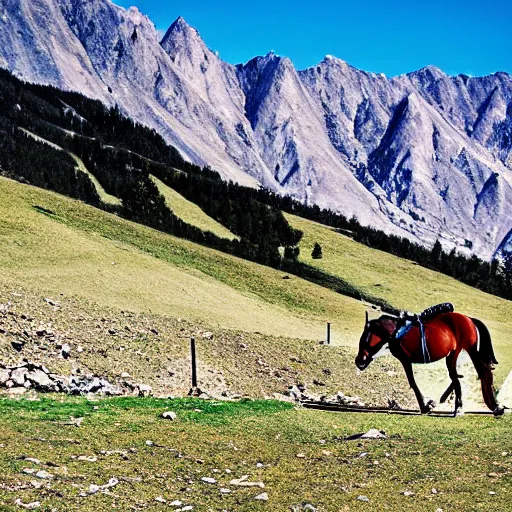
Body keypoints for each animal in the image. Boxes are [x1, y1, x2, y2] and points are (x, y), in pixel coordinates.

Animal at [356, 312, 504, 416]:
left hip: (468, 351)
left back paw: (486, 406)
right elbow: (413, 382)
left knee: (480, 374)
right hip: (454, 354)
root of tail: (468, 318)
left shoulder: (405, 359)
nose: (358, 361)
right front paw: (427, 405)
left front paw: (425, 406)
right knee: (459, 377)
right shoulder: (405, 360)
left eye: (365, 339)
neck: (397, 332)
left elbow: (413, 382)